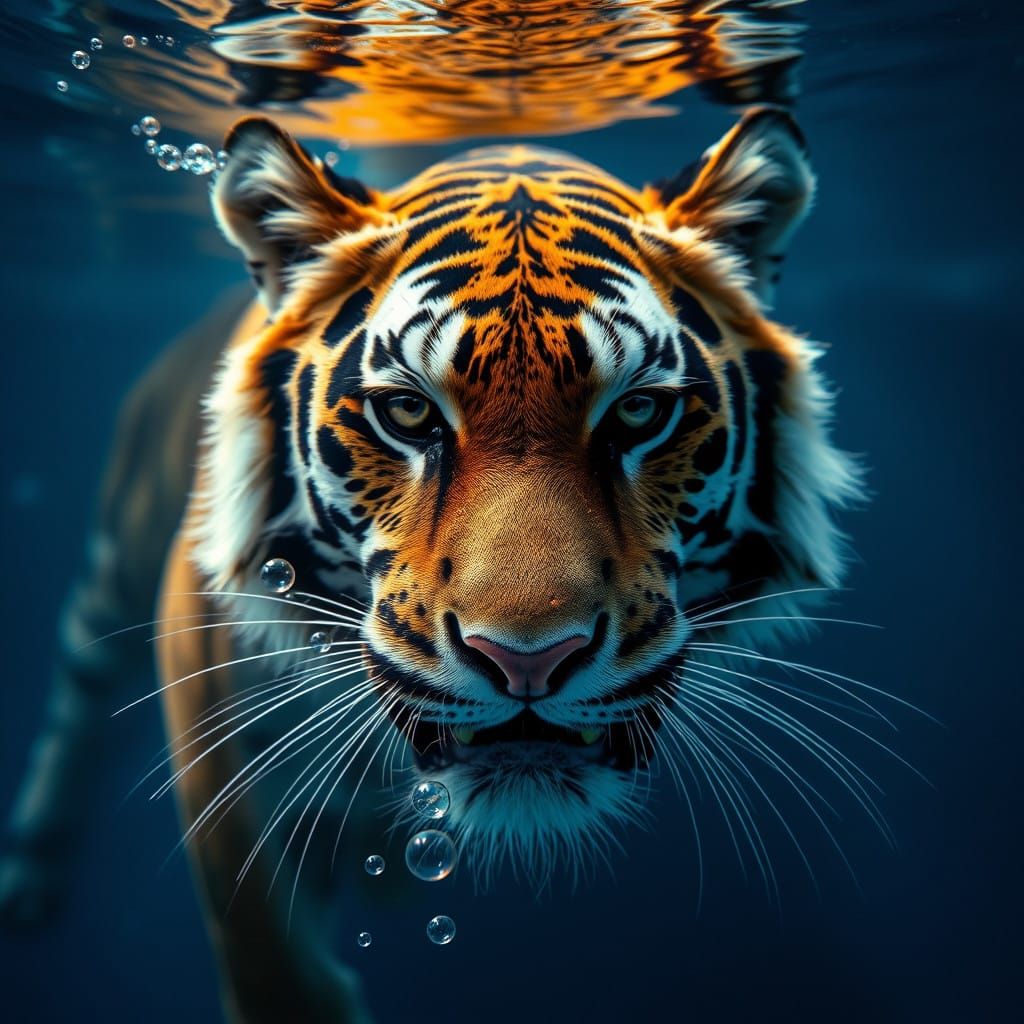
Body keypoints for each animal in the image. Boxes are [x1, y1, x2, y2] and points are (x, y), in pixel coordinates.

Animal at [1, 107, 860, 1021]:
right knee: (80, 689)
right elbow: (265, 946)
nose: (528, 661)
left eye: (638, 413)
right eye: (409, 413)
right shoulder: (212, 700)